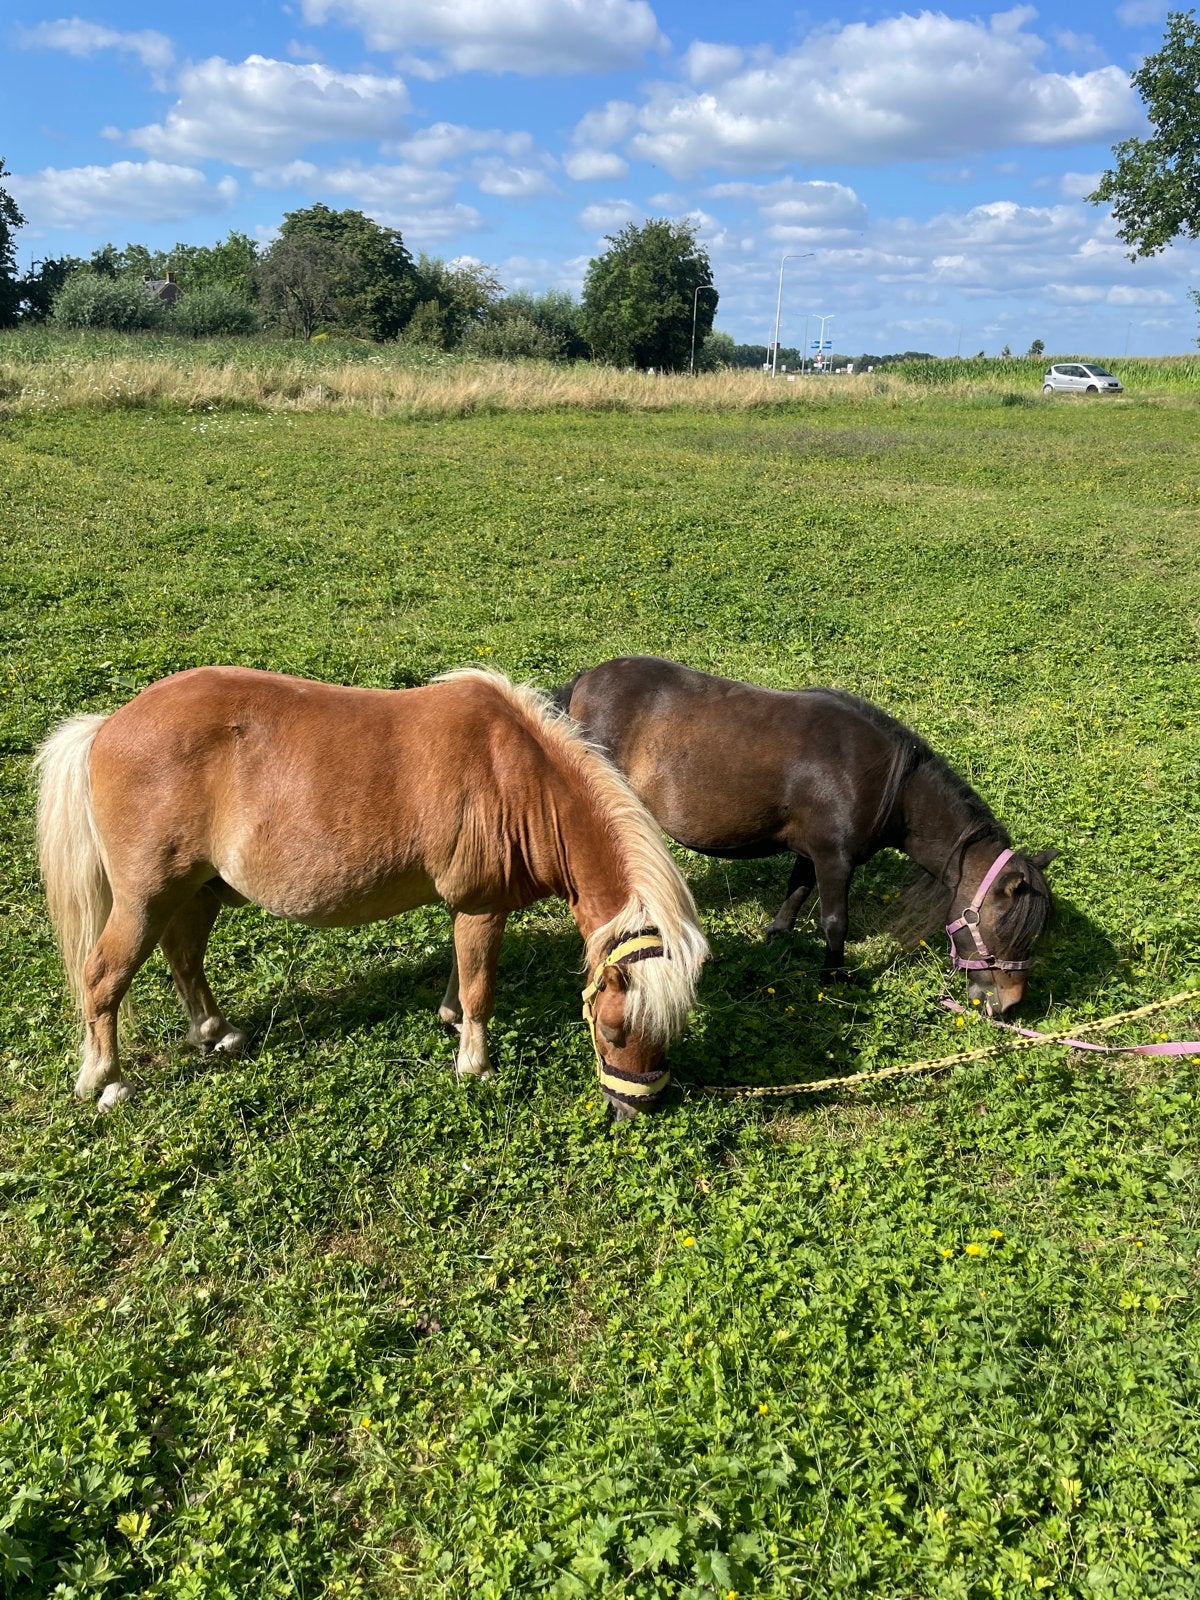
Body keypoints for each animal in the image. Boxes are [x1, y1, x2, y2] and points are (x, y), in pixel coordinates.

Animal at [35, 666, 708, 1116]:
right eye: (614, 1029)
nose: (638, 1108)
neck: (518, 779)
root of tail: (108, 725)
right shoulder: (482, 906)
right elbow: (480, 987)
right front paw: (476, 1065)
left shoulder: (466, 909)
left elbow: (461, 974)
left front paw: (449, 1019)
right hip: (145, 900)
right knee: (102, 977)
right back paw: (106, 1079)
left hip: (195, 891)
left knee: (184, 961)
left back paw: (214, 1032)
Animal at [554, 656, 1058, 1017]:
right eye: (1007, 930)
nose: (1010, 1007)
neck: (886, 786)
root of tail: (584, 681)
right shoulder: (835, 860)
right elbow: (835, 922)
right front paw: (834, 978)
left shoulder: (811, 852)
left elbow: (796, 891)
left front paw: (776, 935)